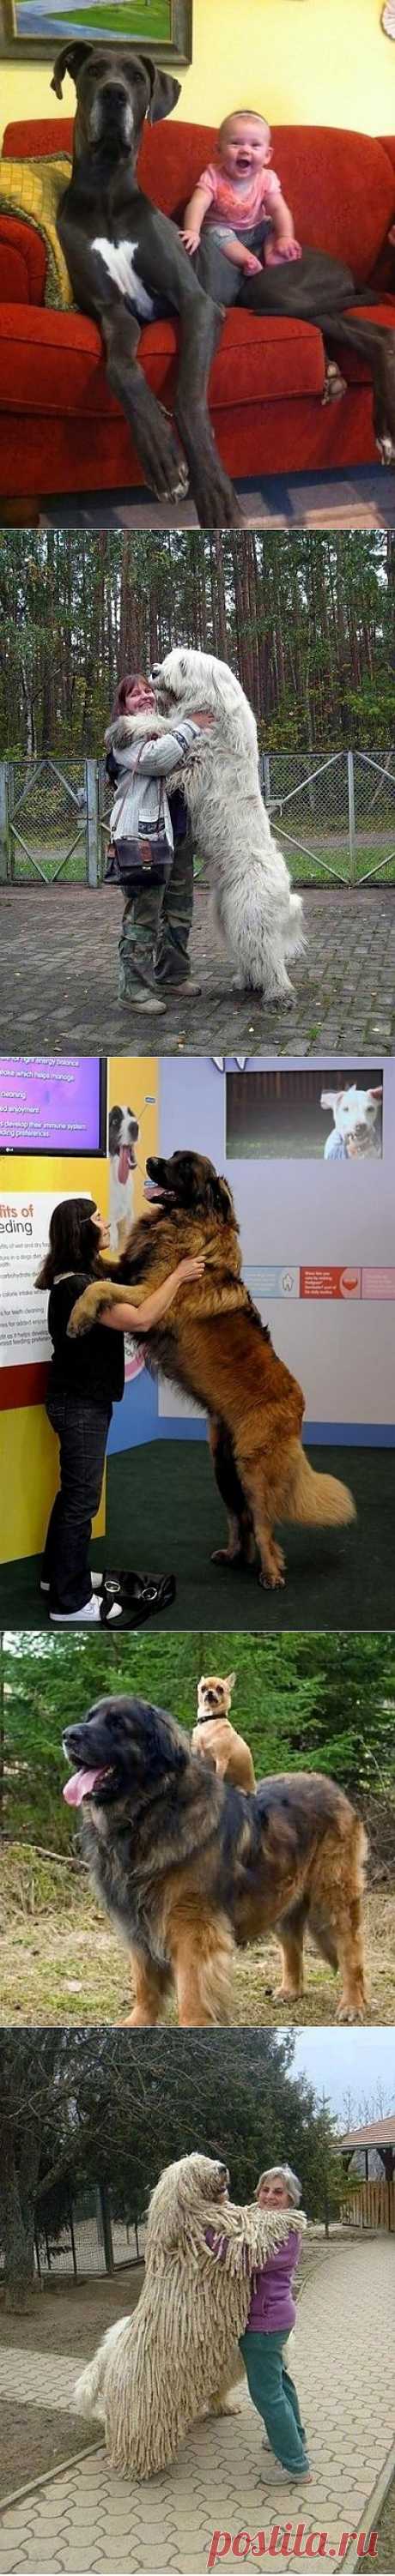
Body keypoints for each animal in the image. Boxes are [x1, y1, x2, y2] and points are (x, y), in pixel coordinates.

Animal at [61, 1699, 366, 2019]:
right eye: (89, 1718)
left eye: (118, 1724)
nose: (68, 1735)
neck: (148, 1814)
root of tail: (330, 1785)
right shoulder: (137, 1923)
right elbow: (145, 1983)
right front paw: (138, 2021)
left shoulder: (192, 1926)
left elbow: (192, 1992)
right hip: (280, 1892)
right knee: (292, 1942)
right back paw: (291, 1990)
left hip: (333, 1893)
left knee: (351, 1948)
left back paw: (352, 2004)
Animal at [69, 1154, 356, 1586]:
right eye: (172, 1158)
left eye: (184, 1167)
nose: (151, 1160)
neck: (180, 1221)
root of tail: (298, 1406)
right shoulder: (130, 1269)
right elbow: (101, 1268)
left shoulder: (146, 1295)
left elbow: (96, 1288)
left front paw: (77, 1317)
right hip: (221, 1463)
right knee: (241, 1519)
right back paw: (236, 1556)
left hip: (252, 1469)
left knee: (263, 1522)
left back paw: (271, 1573)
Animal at [73, 2153, 306, 2472]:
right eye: (197, 2169)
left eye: (207, 2158)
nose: (222, 2168)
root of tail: (109, 2351)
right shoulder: (226, 2238)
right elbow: (255, 2228)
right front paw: (290, 2216)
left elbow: (249, 2213)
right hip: (144, 2406)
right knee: (133, 2434)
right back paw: (139, 2466)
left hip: (226, 2362)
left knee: (217, 2389)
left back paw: (225, 2406)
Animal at [106, 643, 306, 1004]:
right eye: (170, 660)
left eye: (183, 665)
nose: (155, 670)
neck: (214, 706)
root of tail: (285, 894)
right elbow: (166, 722)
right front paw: (127, 724)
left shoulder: (194, 755)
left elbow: (164, 725)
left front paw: (124, 726)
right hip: (227, 914)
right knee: (249, 952)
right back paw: (247, 981)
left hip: (251, 912)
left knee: (269, 953)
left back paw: (279, 993)